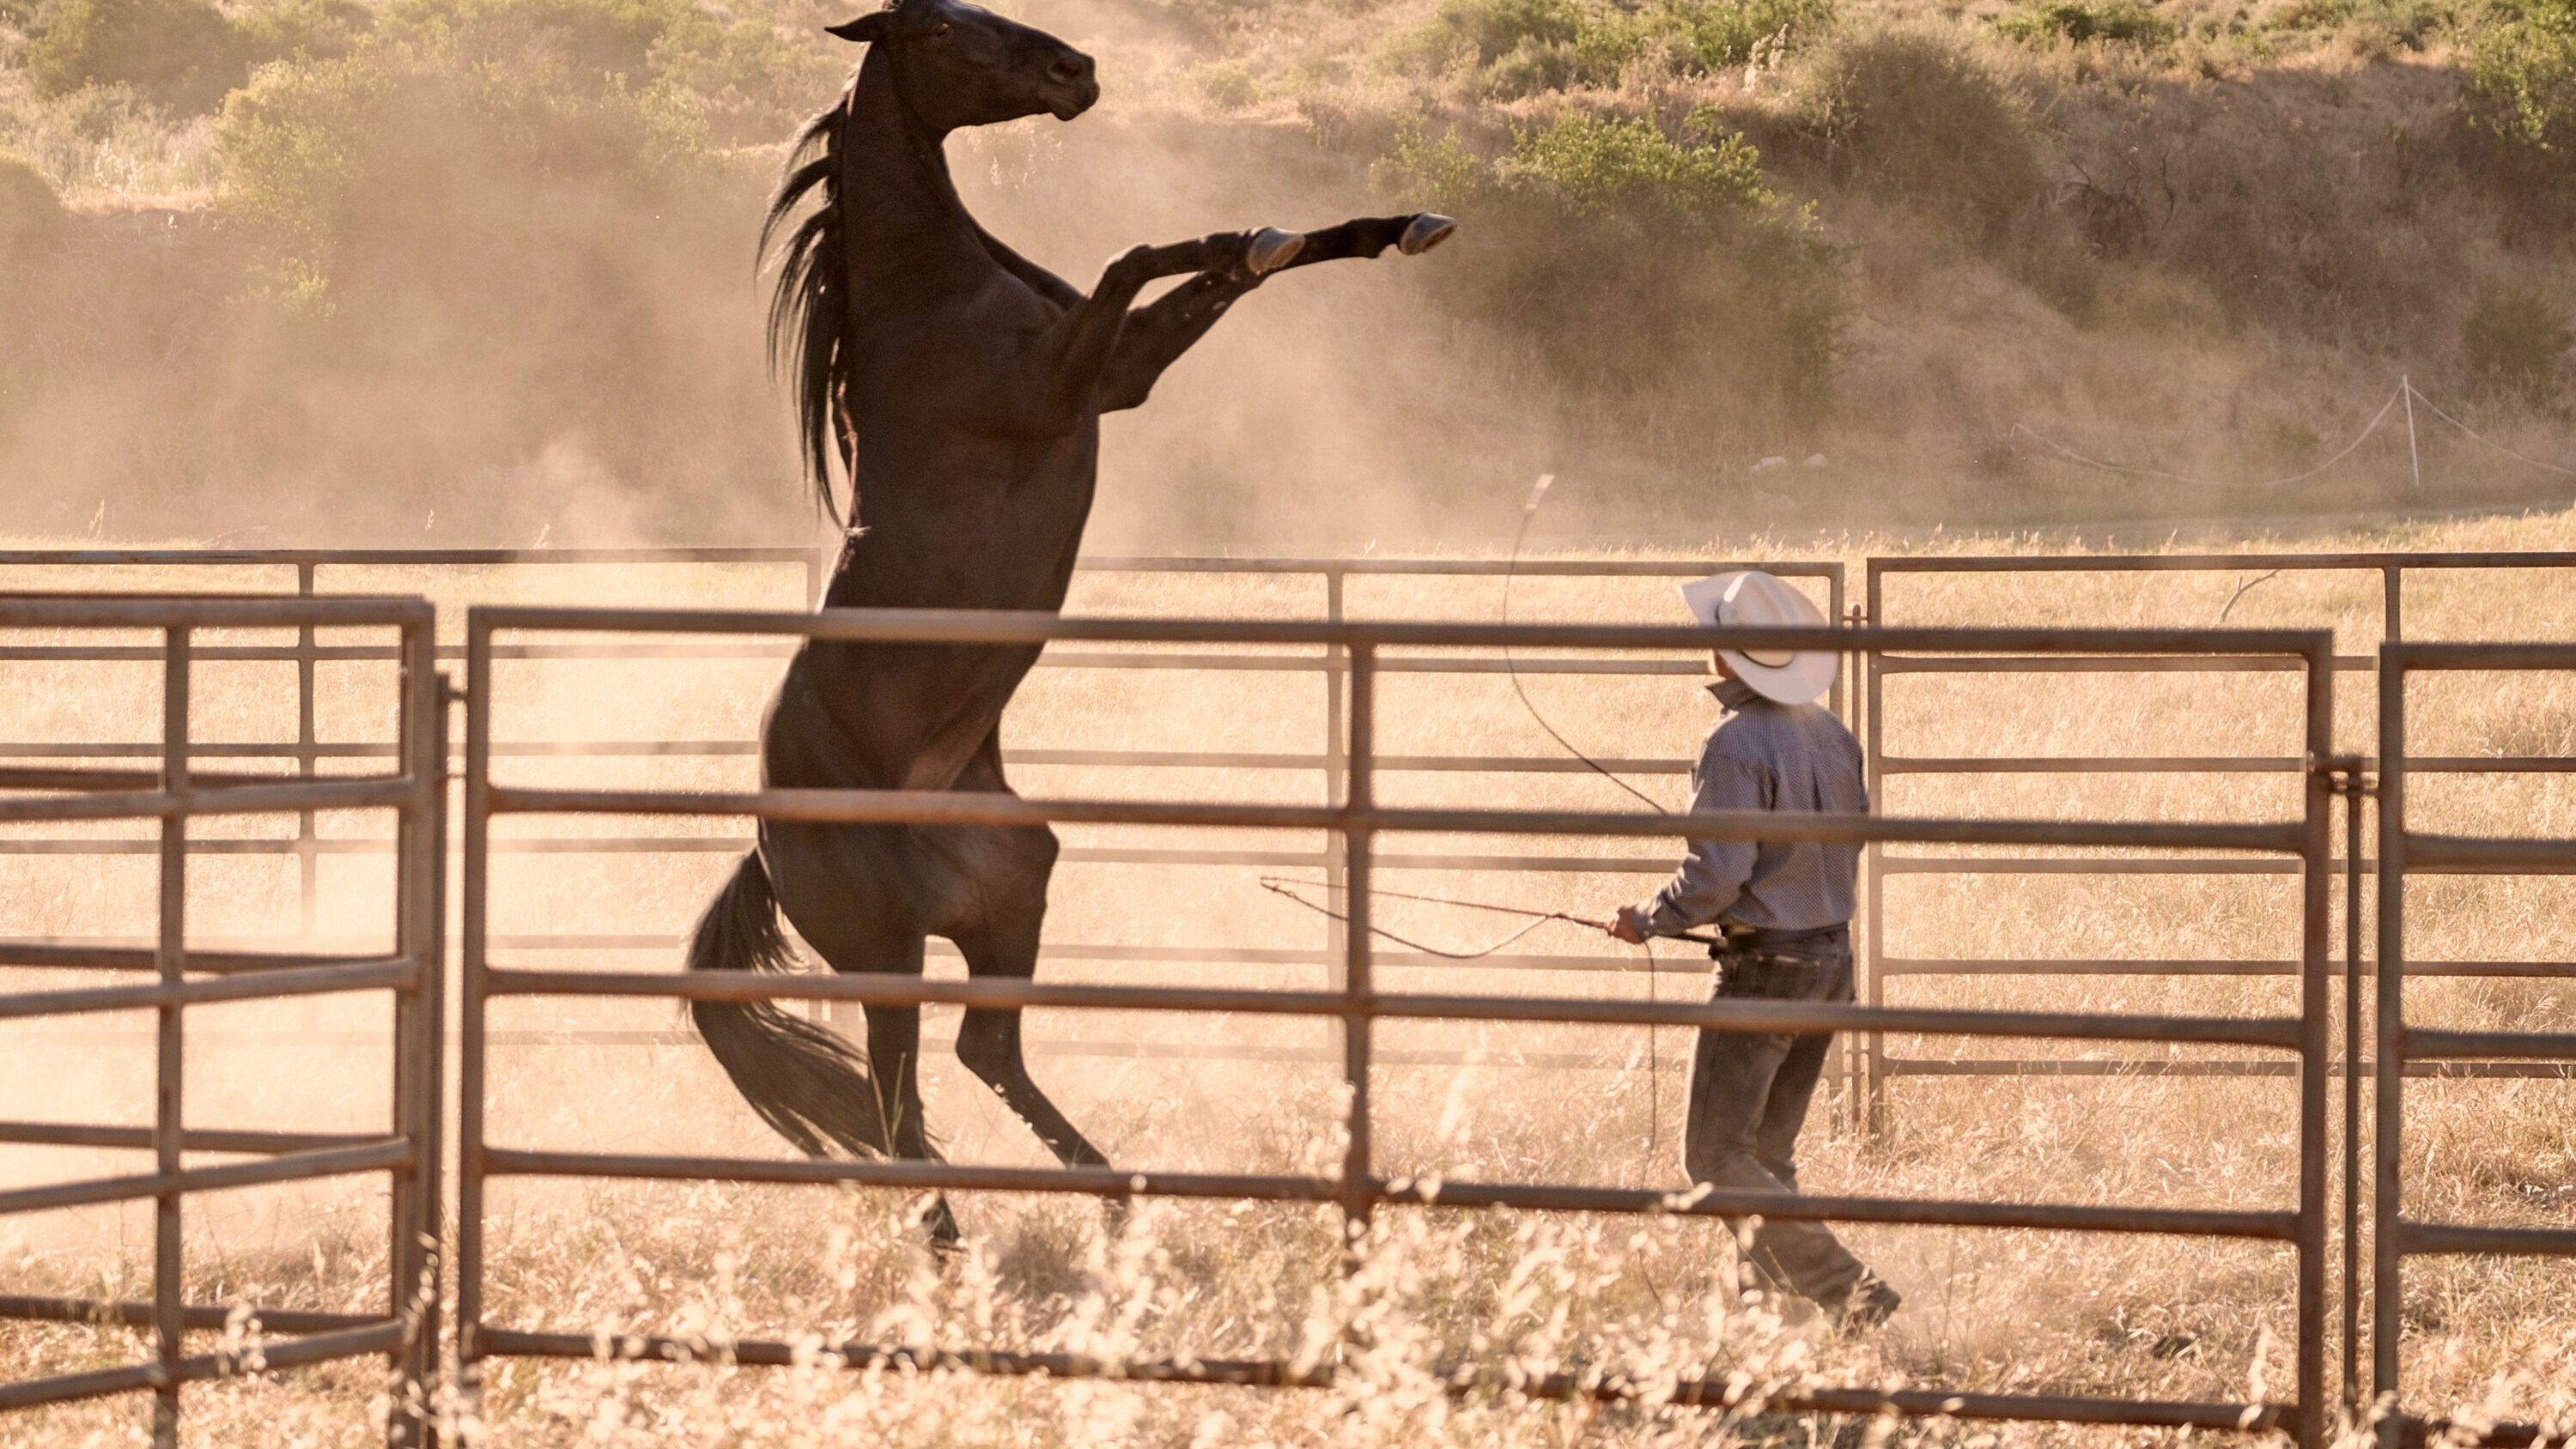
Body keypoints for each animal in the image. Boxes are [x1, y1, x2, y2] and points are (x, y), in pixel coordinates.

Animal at [685, 0, 1453, 1246]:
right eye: (943, 32)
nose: (1075, 68)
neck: (929, 292)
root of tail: (763, 839)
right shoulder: (1069, 384)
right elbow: (1131, 261)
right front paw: (1257, 236)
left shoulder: (1115, 376)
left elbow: (1211, 270)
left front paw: (1363, 228)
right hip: (883, 953)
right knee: (899, 1097)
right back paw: (951, 1245)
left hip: (1013, 893)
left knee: (983, 1050)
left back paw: (1115, 1190)